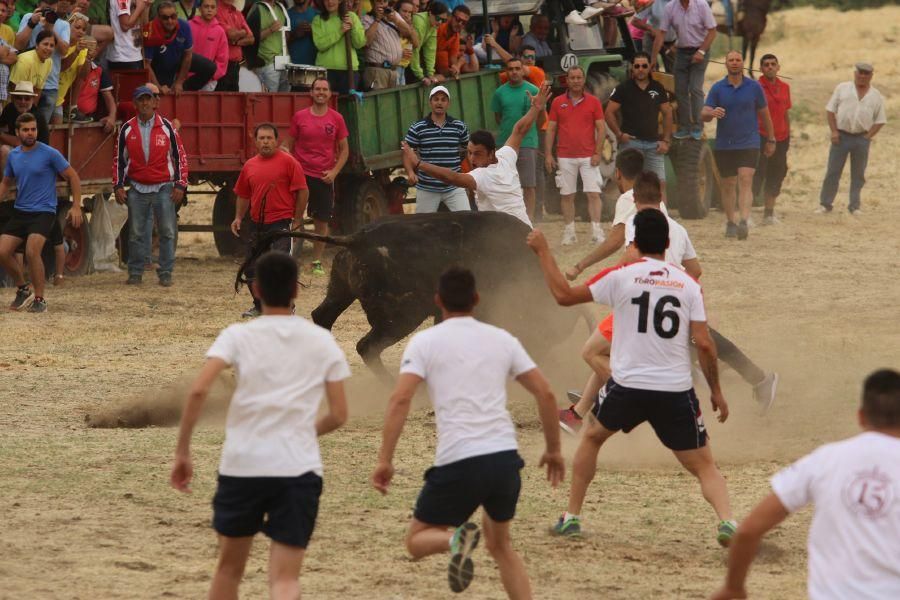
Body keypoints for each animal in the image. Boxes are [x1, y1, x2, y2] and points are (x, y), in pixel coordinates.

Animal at [239, 213, 592, 378]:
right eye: (547, 328)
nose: (540, 359)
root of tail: (357, 237)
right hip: (401, 315)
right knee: (366, 345)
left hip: (341, 290)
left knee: (322, 317)